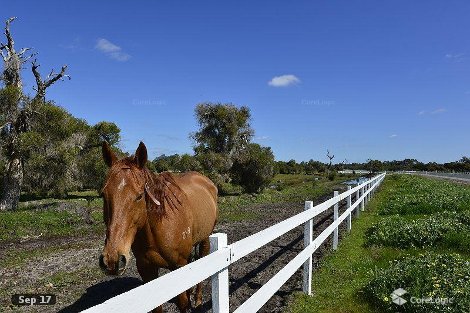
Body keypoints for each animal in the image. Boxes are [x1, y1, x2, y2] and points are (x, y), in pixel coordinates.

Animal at [99, 142, 218, 312]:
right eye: (103, 195)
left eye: (139, 196)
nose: (112, 259)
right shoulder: (146, 269)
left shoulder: (178, 266)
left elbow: (183, 303)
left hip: (205, 239)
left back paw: (198, 300)